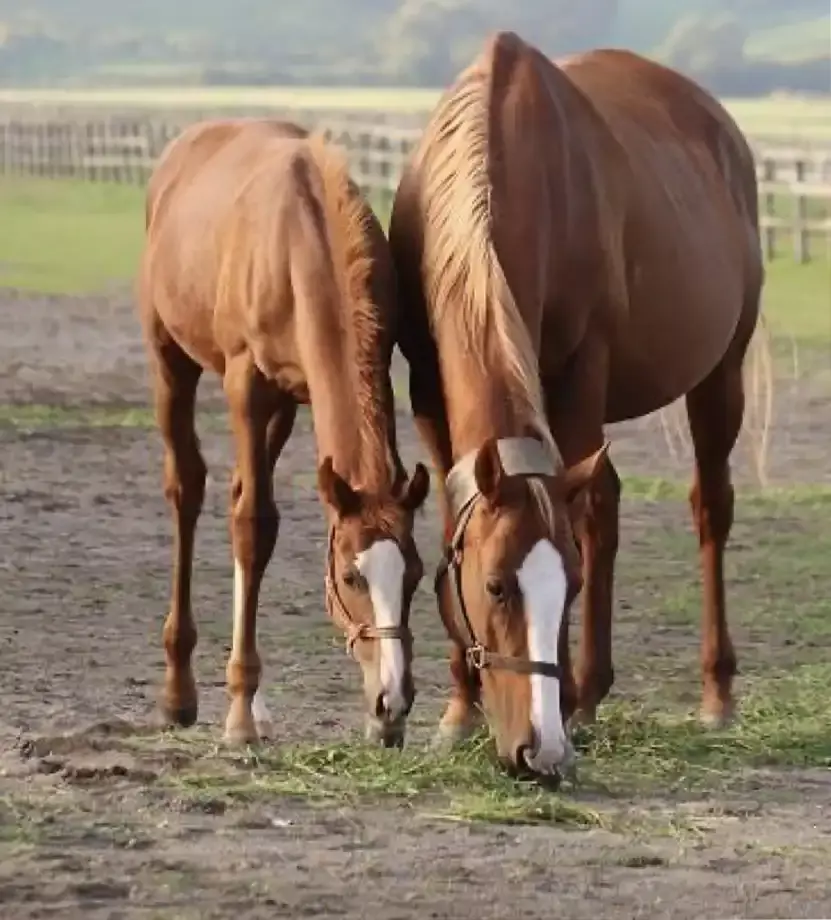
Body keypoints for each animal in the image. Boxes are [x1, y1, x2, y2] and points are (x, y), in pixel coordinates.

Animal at [138, 117, 428, 748]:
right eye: (350, 576)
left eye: (416, 576)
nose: (392, 704)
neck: (300, 244)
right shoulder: (246, 384)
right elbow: (254, 525)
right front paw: (239, 721)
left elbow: (255, 522)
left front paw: (250, 703)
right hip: (170, 358)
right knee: (188, 489)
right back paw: (179, 694)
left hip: (284, 406)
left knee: (235, 494)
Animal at [394, 30, 772, 776]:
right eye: (493, 585)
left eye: (566, 586)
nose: (536, 751)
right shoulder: (427, 388)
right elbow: (453, 515)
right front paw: (459, 710)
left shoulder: (579, 375)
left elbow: (585, 523)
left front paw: (561, 699)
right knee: (606, 502)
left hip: (720, 373)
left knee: (707, 509)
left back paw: (710, 695)